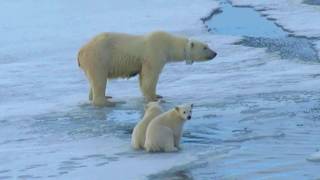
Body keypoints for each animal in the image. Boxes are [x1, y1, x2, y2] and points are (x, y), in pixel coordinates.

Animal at [78, 31, 218, 106]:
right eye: (205, 47)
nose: (215, 53)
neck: (168, 45)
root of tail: (81, 50)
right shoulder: (154, 54)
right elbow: (149, 78)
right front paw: (155, 98)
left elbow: (142, 78)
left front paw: (158, 95)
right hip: (99, 57)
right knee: (99, 80)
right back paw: (106, 101)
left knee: (93, 81)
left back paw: (105, 97)